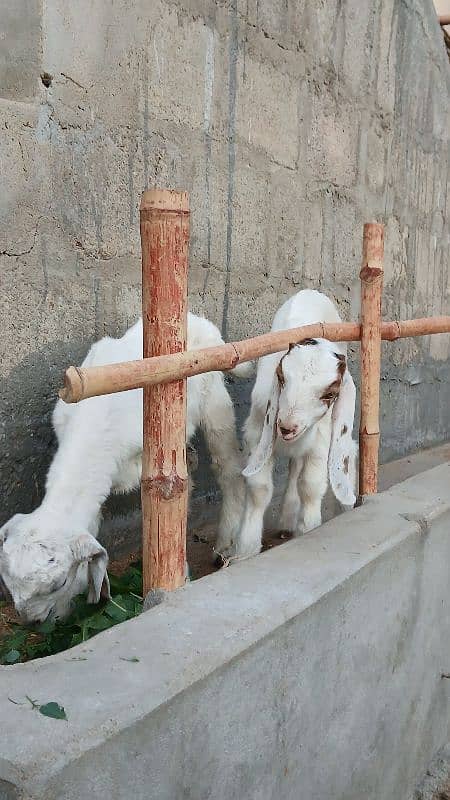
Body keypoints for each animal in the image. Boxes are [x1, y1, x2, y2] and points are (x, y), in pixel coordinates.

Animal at [0, 316, 248, 620]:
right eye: (8, 582)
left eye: (59, 583)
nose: (33, 621)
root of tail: (200, 320)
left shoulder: (153, 461)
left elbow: (170, 491)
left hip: (215, 399)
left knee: (228, 468)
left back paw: (225, 546)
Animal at [220, 290, 356, 560]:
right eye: (281, 378)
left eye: (330, 393)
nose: (286, 427)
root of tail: (311, 291)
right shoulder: (256, 436)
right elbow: (259, 488)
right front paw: (246, 550)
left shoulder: (320, 440)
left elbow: (311, 486)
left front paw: (308, 529)